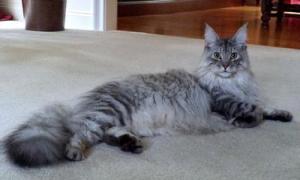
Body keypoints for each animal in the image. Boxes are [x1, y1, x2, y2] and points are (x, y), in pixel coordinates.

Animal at [3, 23, 292, 167]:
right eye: (216, 56)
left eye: (233, 56)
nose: (225, 67)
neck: (236, 83)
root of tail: (77, 106)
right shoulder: (222, 102)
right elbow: (253, 112)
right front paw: (245, 120)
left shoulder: (248, 96)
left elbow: (265, 107)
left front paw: (283, 113)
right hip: (108, 112)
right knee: (81, 134)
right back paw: (76, 152)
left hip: (115, 119)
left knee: (107, 136)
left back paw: (130, 144)